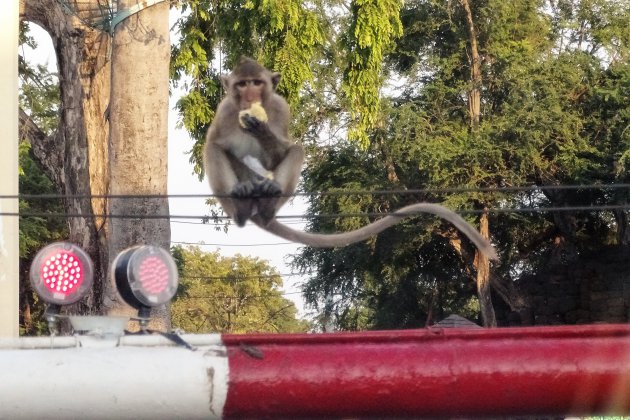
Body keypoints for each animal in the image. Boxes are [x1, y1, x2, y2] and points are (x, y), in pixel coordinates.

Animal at [205, 55, 502, 260]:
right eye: (242, 84)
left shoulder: (280, 108)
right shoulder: (224, 110)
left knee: (296, 151)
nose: (250, 95)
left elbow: (277, 156)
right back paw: (242, 201)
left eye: (257, 83)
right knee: (213, 149)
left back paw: (268, 200)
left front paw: (261, 128)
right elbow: (215, 144)